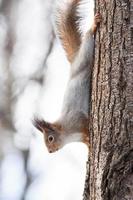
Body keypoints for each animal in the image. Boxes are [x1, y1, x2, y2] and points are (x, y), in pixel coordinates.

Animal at [33, 0, 101, 153]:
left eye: (50, 138)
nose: (50, 151)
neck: (66, 133)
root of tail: (74, 63)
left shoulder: (76, 120)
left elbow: (85, 123)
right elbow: (85, 141)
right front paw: (89, 146)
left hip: (85, 58)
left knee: (88, 40)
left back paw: (93, 26)